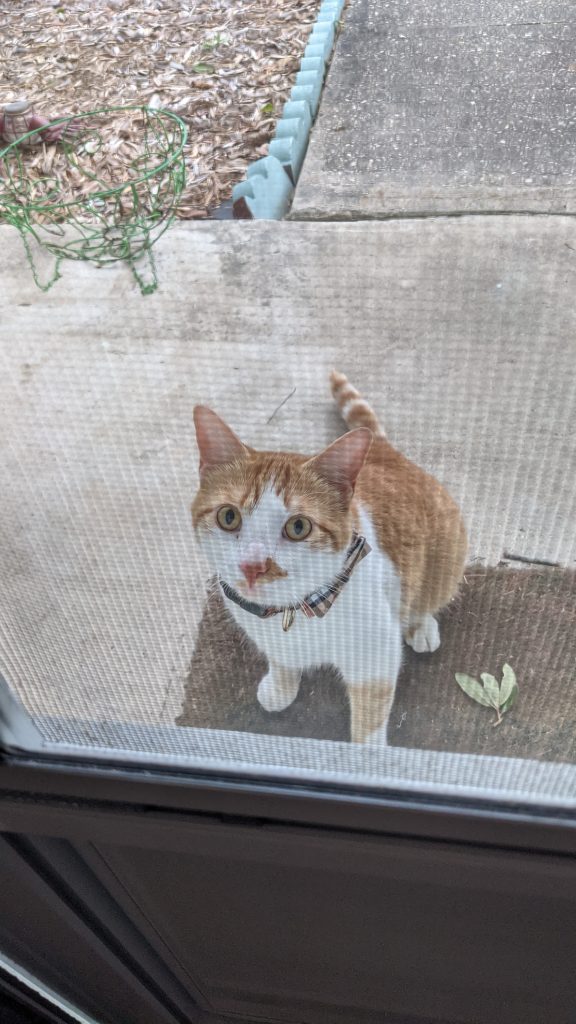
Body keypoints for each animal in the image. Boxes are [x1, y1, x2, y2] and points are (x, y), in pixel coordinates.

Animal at [190, 372, 463, 741]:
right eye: (228, 517)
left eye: (298, 527)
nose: (253, 566)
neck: (292, 610)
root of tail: (383, 451)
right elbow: (281, 659)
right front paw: (281, 685)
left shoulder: (375, 659)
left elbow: (369, 722)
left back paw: (421, 625)